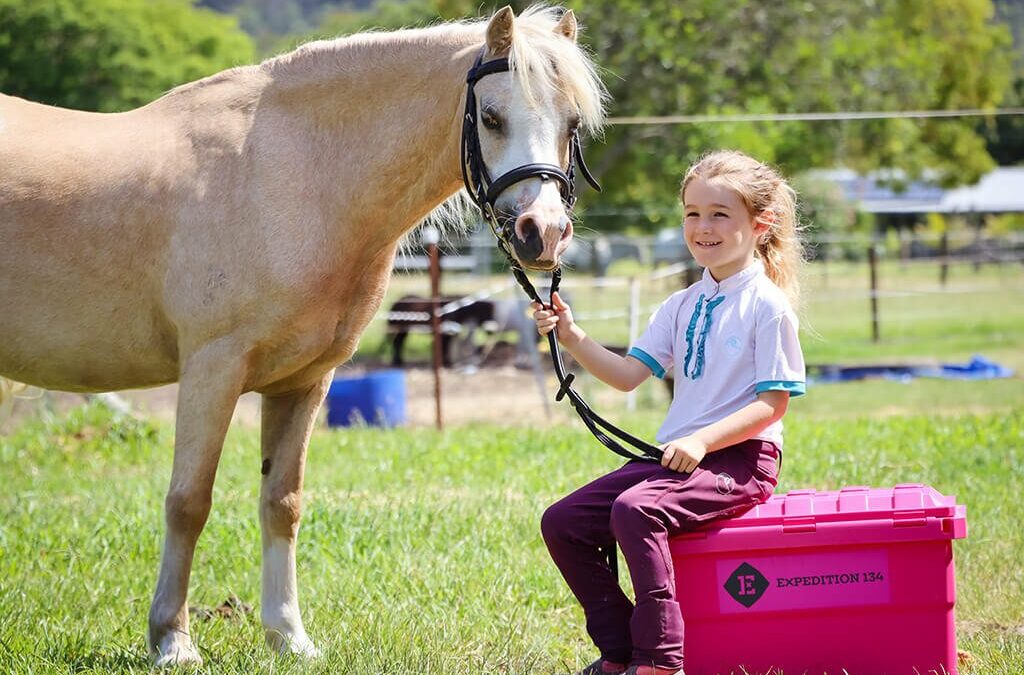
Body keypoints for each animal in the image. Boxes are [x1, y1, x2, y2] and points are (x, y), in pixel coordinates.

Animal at [0, 3, 602, 663]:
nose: (543, 233)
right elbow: (189, 502)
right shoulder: (212, 370)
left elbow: (281, 504)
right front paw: (172, 641)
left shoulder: (302, 382)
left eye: (572, 122)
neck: (289, 173)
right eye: (491, 117)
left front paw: (287, 636)